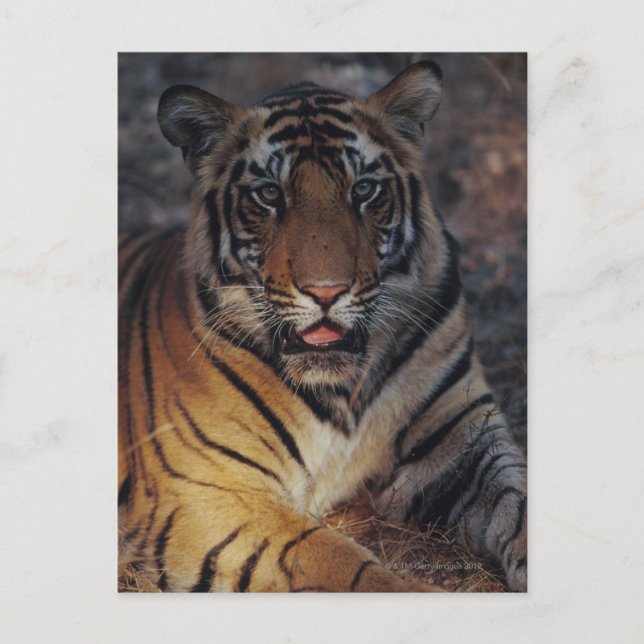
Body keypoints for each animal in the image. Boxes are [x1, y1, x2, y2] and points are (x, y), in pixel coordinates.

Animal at [118, 60, 527, 592]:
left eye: (364, 189)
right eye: (270, 194)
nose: (327, 292)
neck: (344, 392)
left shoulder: (465, 441)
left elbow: (522, 505)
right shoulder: (207, 489)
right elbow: (346, 566)